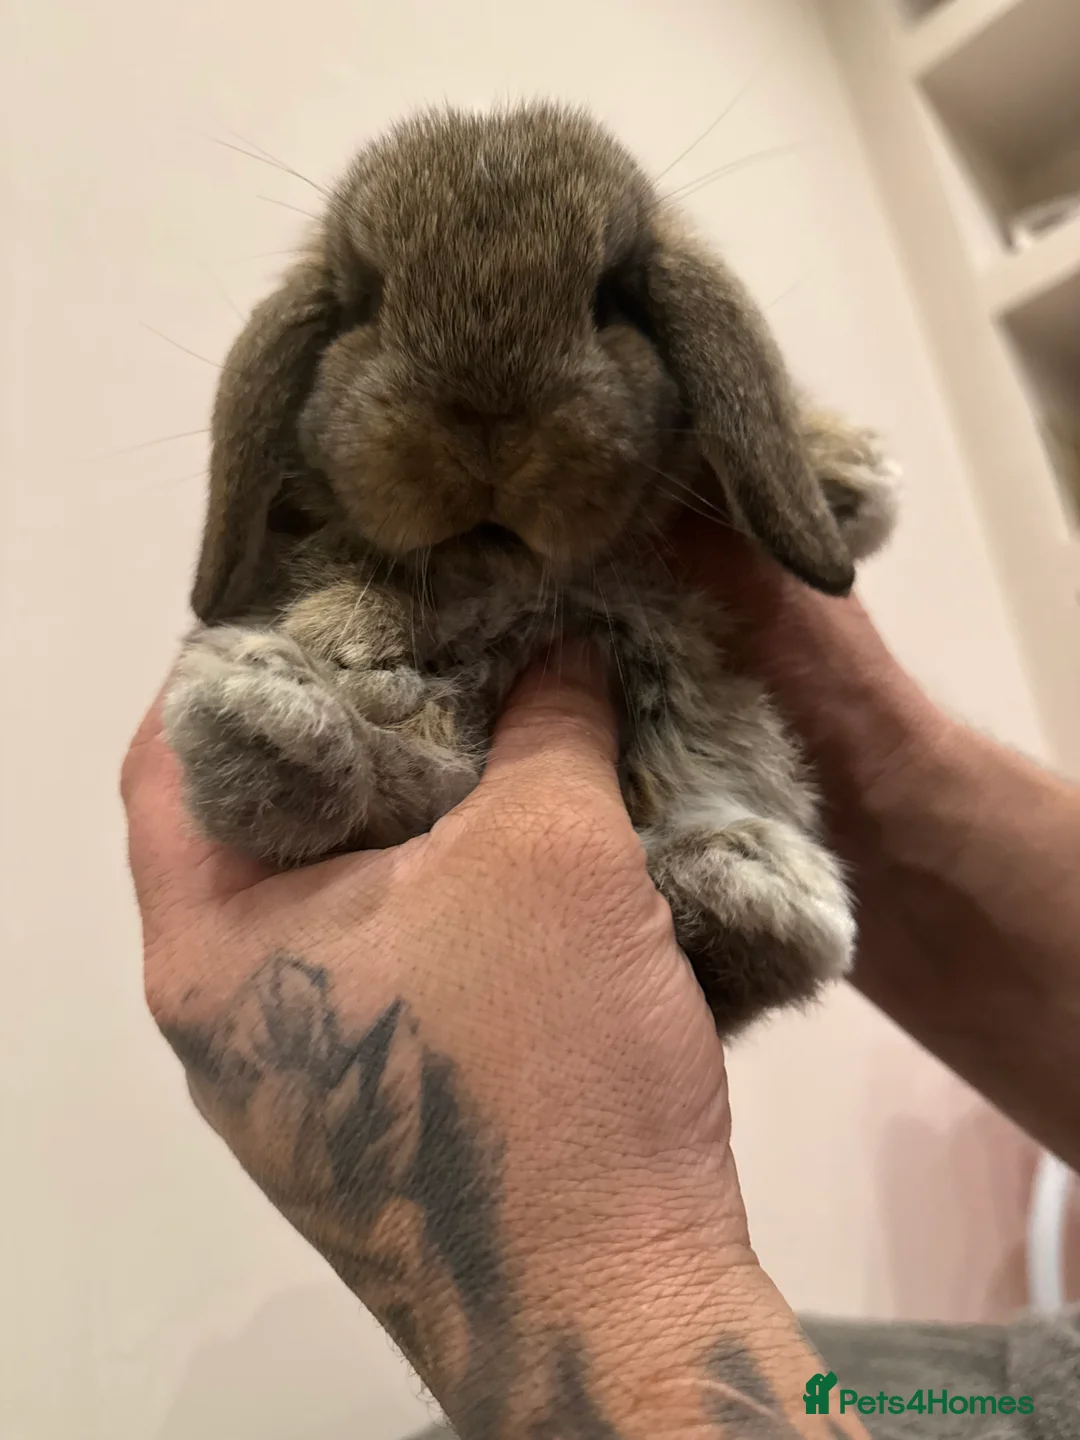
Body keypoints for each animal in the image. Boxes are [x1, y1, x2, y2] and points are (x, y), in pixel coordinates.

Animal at [164, 102, 899, 1036]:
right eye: (364, 301)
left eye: (612, 298)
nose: (487, 424)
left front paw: (850, 474)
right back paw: (272, 725)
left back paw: (741, 886)